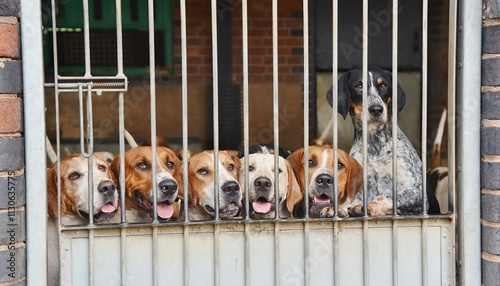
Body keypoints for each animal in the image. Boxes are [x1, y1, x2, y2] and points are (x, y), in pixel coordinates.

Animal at [326, 68, 428, 216]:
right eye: (359, 87)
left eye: (384, 86)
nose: (376, 110)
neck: (374, 142)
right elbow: (353, 200)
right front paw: (338, 208)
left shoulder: (418, 194)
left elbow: (387, 196)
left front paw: (369, 206)